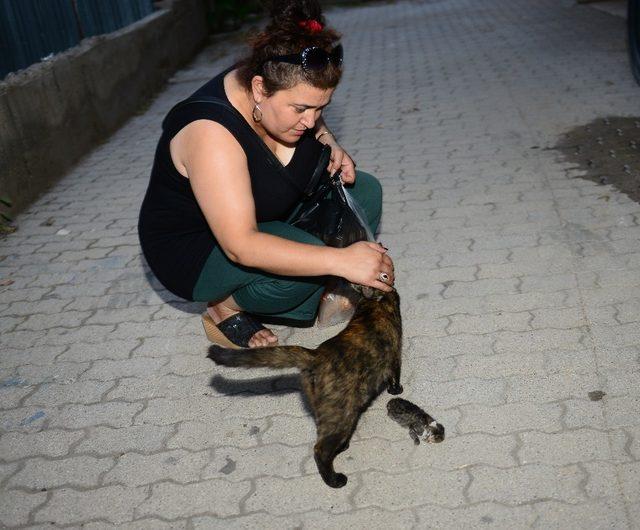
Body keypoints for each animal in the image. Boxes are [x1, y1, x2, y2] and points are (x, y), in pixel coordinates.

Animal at [208, 284, 402, 486]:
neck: (373, 308)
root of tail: (315, 355)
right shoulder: (395, 354)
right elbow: (395, 374)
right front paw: (396, 390)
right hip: (341, 414)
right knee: (320, 449)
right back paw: (334, 480)